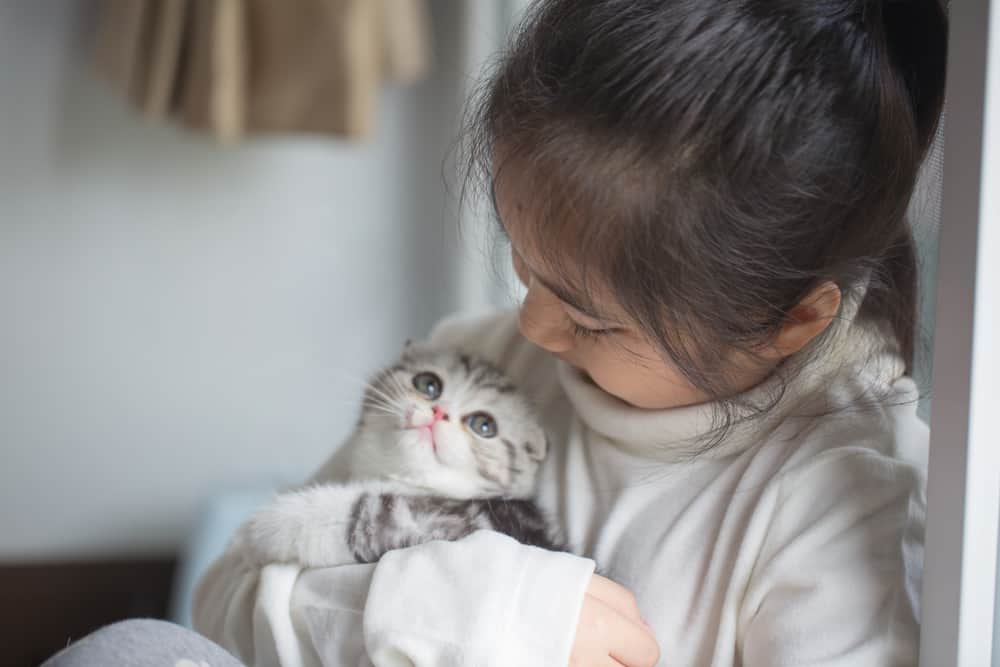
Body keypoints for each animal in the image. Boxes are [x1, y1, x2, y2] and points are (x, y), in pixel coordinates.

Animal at [237, 344, 560, 568]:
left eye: (483, 425)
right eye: (428, 384)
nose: (438, 412)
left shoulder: (471, 523)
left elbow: (368, 510)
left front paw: (266, 526)